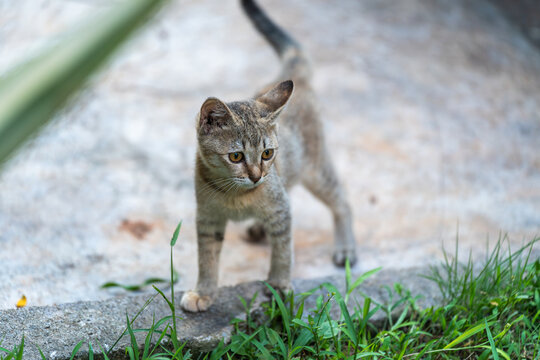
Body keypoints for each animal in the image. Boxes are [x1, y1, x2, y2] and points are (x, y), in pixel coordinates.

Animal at [181, 0, 356, 312]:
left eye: (266, 153)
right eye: (235, 156)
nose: (256, 176)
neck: (236, 196)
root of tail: (294, 79)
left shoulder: (280, 209)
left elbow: (283, 250)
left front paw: (279, 285)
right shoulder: (208, 218)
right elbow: (207, 259)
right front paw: (204, 292)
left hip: (316, 169)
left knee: (341, 199)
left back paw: (345, 247)